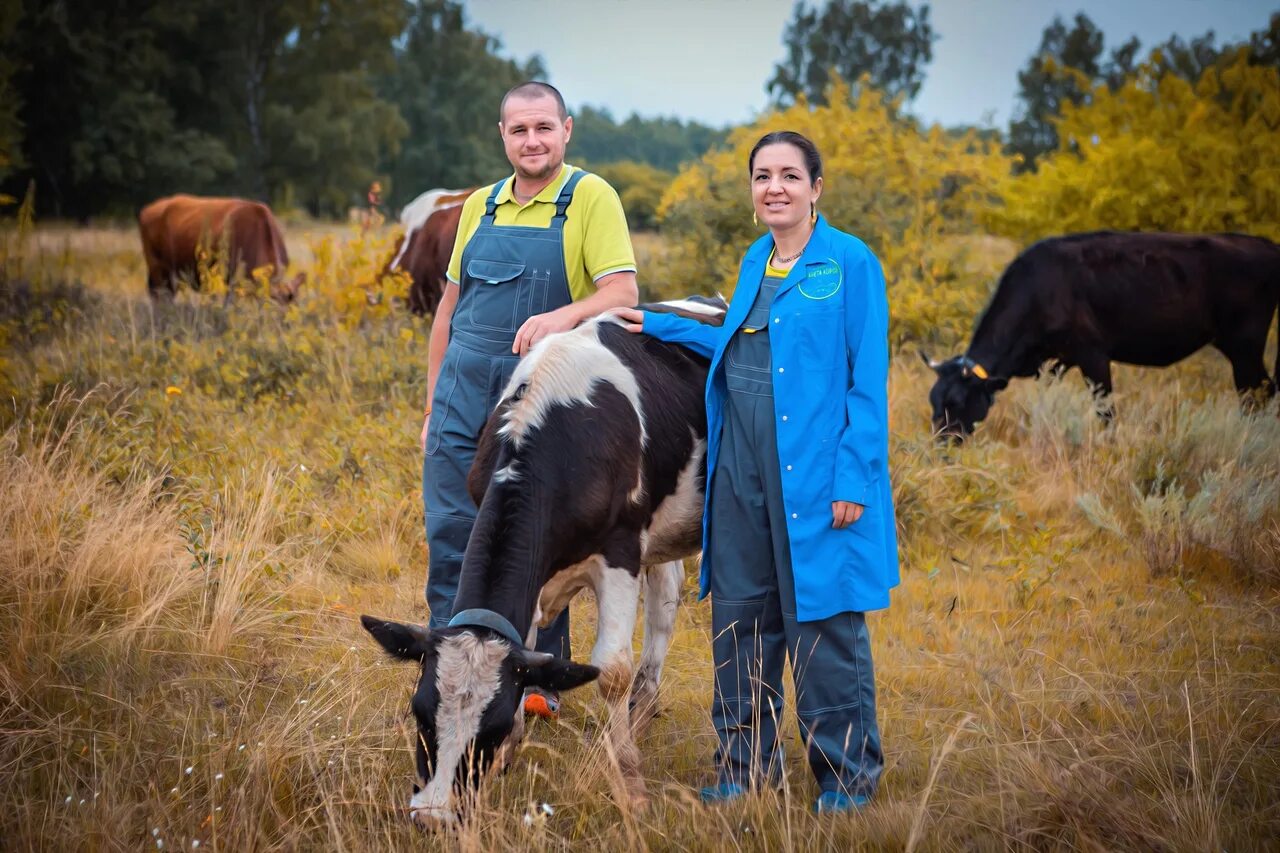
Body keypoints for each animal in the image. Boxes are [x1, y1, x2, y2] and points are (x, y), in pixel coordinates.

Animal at [360, 297, 727, 824]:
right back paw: (643, 710)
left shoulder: (620, 551)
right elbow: (530, 650)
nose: (433, 817)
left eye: (487, 729)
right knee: (665, 603)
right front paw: (511, 756)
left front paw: (631, 787)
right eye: (420, 711)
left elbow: (611, 671)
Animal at [931, 229, 1280, 435]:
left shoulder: (1093, 356)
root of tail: (1265, 245)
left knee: (1258, 393)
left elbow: (1106, 412)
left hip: (1244, 346)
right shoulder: (1056, 362)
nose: (942, 445)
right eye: (933, 401)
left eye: (956, 402)